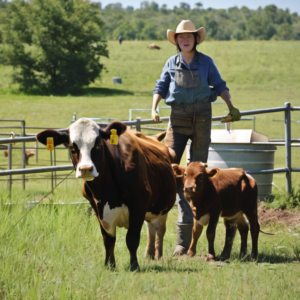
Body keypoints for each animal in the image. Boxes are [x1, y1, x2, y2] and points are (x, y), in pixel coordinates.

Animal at [37, 118, 178, 270]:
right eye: (72, 147)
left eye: (98, 144)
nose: (86, 168)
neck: (106, 191)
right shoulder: (97, 207)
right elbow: (108, 240)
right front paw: (110, 265)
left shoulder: (139, 203)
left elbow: (132, 239)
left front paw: (134, 266)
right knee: (151, 228)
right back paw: (150, 254)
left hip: (162, 208)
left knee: (160, 229)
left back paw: (158, 254)